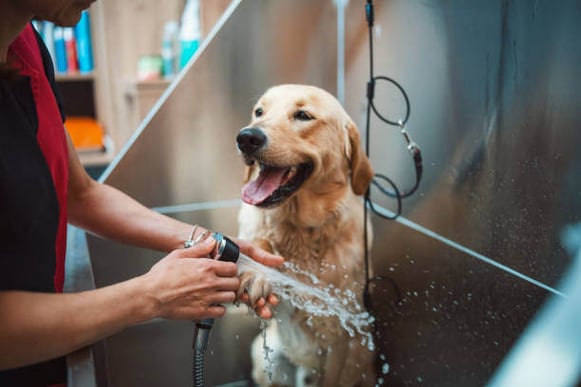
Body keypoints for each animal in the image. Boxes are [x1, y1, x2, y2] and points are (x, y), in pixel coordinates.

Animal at [234, 83, 376, 386]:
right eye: (259, 112)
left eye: (303, 115)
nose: (246, 137)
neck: (301, 229)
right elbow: (259, 244)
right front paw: (257, 272)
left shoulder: (338, 336)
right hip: (264, 356)